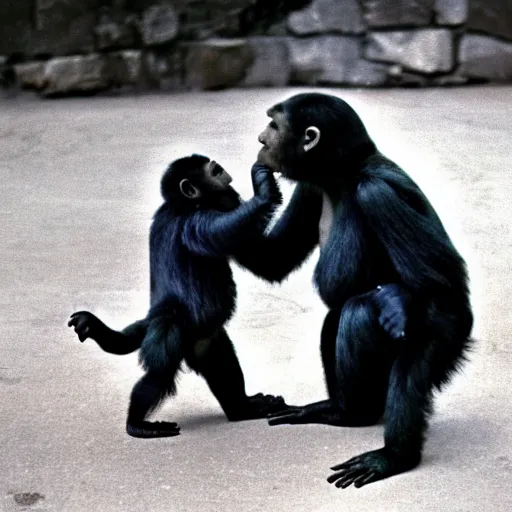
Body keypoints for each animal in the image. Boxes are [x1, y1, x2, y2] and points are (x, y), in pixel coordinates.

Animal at [234, 94, 474, 490]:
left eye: (273, 125)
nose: (260, 139)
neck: (343, 177)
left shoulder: (378, 195)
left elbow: (444, 296)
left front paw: (394, 456)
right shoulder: (310, 187)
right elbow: (275, 258)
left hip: (449, 347)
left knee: (360, 311)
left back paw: (360, 416)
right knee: (339, 312)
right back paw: (339, 410)